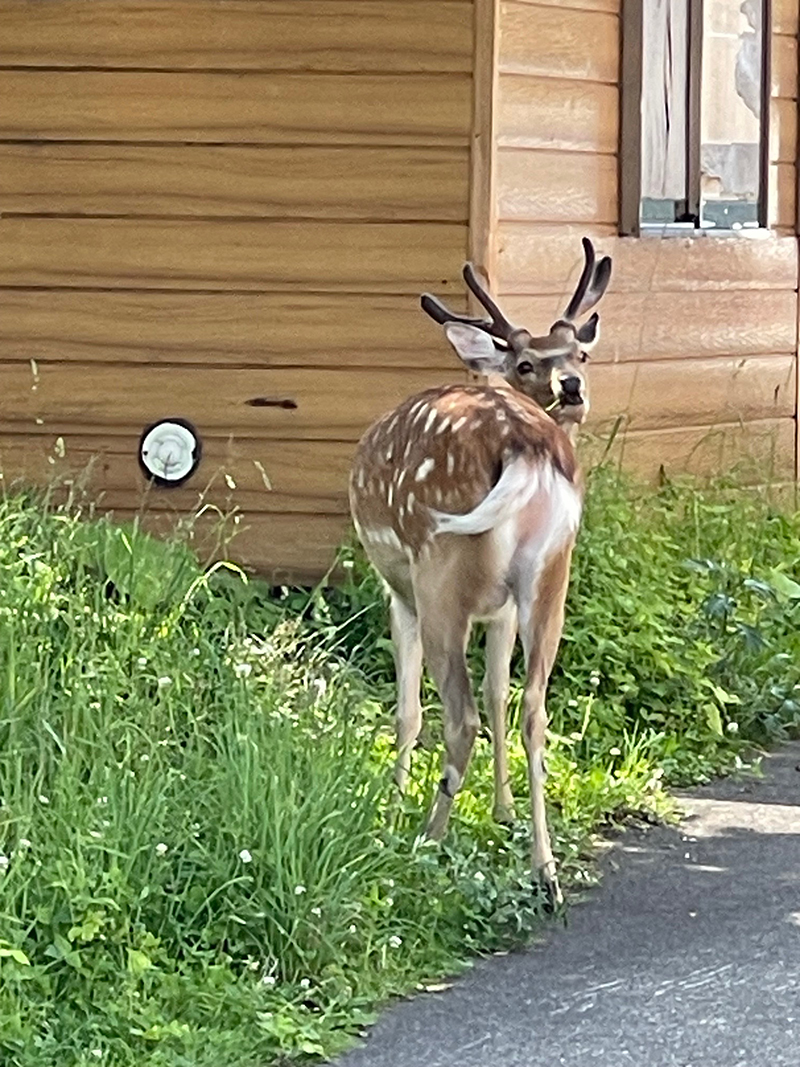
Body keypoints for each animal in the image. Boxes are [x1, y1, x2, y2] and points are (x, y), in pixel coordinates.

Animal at [347, 237, 610, 904]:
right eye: (529, 362)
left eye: (580, 352)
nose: (573, 385)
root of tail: (525, 445)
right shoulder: (505, 609)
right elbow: (499, 695)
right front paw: (504, 811)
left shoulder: (398, 593)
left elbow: (409, 709)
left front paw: (392, 801)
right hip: (551, 578)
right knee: (534, 709)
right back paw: (545, 871)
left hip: (440, 573)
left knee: (457, 716)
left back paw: (424, 838)